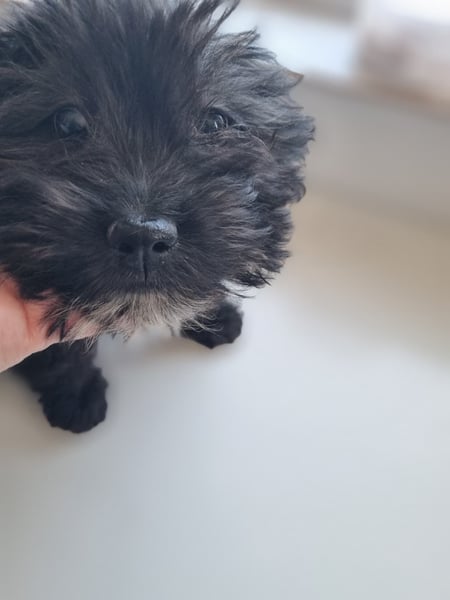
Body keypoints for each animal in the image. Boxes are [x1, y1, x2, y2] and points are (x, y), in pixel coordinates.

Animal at [0, 0, 314, 433]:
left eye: (214, 122)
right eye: (67, 122)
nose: (143, 236)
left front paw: (214, 315)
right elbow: (60, 353)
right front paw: (76, 394)